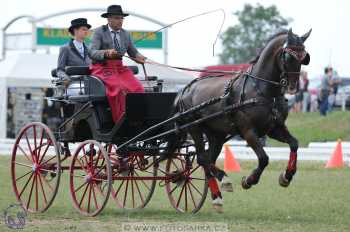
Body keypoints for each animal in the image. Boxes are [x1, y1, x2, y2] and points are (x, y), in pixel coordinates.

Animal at [167, 28, 312, 213]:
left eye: (304, 58)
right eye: (288, 56)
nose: (293, 87)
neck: (261, 90)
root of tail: (184, 90)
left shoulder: (274, 128)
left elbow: (294, 143)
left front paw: (286, 176)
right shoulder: (248, 131)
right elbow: (264, 158)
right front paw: (249, 180)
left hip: (216, 134)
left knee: (208, 160)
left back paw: (218, 191)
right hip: (195, 129)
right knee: (203, 159)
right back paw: (220, 189)